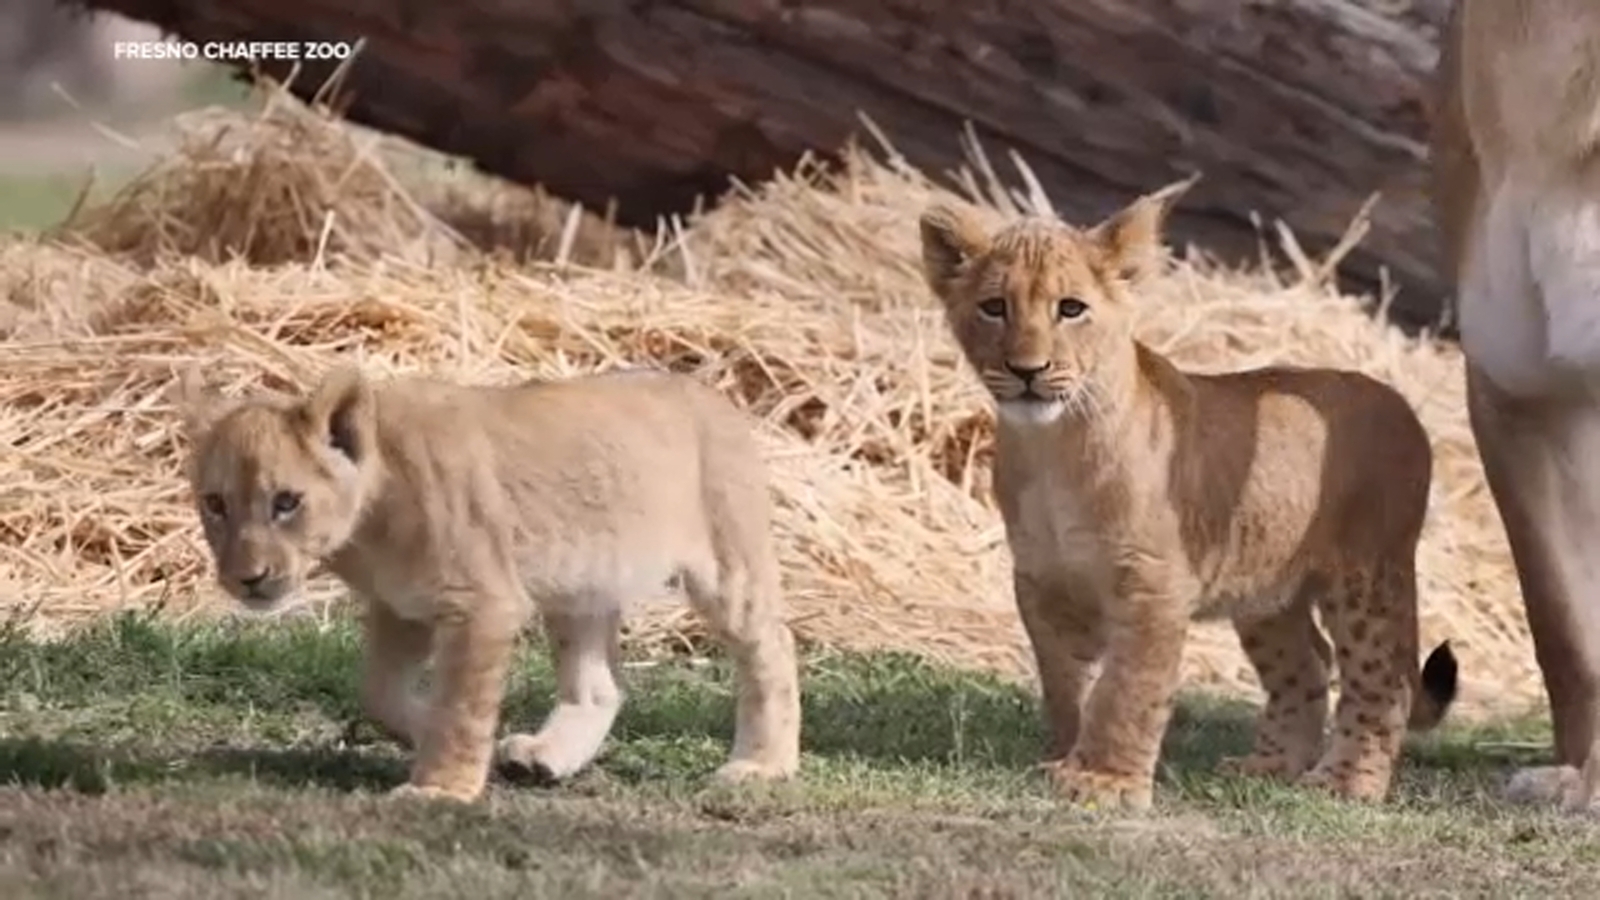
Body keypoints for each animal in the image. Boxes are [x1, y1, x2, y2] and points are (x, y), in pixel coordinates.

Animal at [174, 363, 803, 802]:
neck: (367, 526)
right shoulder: (400, 606)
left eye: (286, 502)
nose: (248, 579)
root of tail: (713, 396)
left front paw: (439, 787)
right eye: (216, 504)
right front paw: (437, 738)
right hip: (580, 585)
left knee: (773, 647)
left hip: (725, 566)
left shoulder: (483, 605)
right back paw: (543, 757)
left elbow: (460, 704)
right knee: (600, 687)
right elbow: (379, 692)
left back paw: (762, 765)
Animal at [916, 178, 1458, 811]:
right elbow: (1065, 684)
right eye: (994, 307)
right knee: (1308, 661)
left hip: (1368, 575)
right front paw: (1065, 754)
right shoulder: (1041, 582)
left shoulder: (1154, 584)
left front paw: (1104, 782)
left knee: (1383, 677)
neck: (1054, 447)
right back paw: (1268, 766)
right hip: (1265, 591)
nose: (1028, 370)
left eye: (1070, 309)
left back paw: (1346, 783)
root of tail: (1399, 401)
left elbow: (1127, 689)